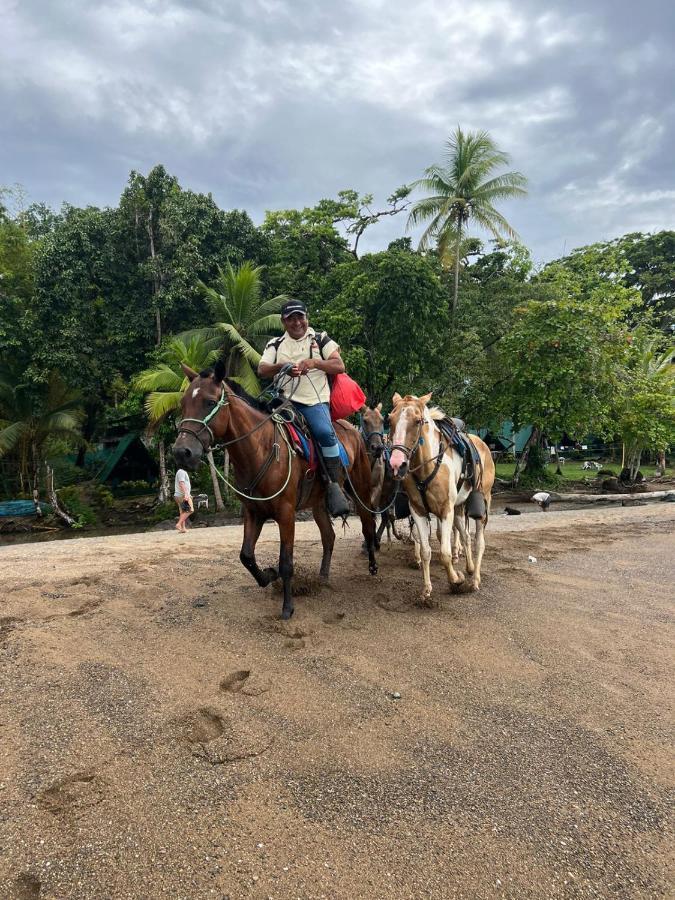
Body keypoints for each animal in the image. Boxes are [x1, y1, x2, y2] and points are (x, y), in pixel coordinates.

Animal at [172, 358, 378, 620]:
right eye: (183, 404)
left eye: (209, 402)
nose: (182, 452)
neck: (261, 448)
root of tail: (351, 429)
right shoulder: (254, 512)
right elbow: (246, 556)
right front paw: (268, 576)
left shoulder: (286, 514)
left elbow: (286, 562)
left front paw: (287, 607)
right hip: (318, 503)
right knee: (328, 536)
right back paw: (322, 577)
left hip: (360, 489)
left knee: (368, 524)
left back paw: (372, 565)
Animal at [386, 394, 496, 604]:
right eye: (390, 420)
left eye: (418, 421)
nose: (396, 464)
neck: (426, 467)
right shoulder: (418, 511)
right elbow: (425, 551)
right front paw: (426, 591)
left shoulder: (446, 511)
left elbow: (445, 553)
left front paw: (456, 580)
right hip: (459, 508)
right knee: (465, 536)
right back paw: (469, 568)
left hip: (483, 504)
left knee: (479, 542)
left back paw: (475, 580)